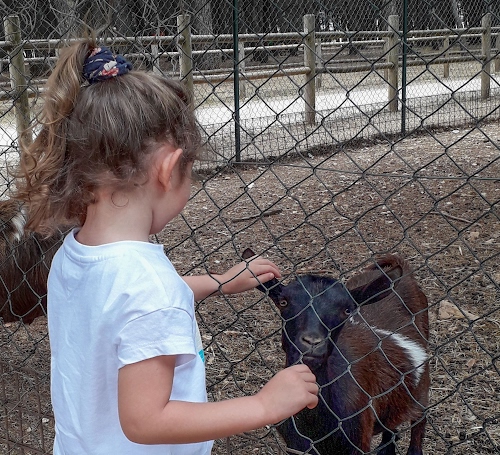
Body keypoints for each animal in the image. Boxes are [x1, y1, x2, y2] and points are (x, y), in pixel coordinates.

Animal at [243, 249, 429, 455]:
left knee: (419, 425)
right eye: (283, 302)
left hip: (421, 391)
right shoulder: (295, 445)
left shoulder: (357, 441)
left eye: (347, 310)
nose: (312, 342)